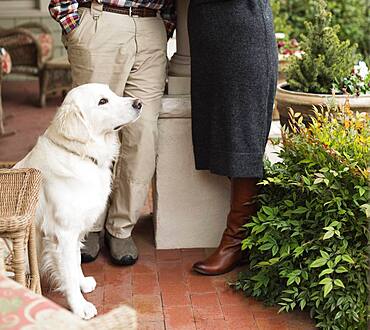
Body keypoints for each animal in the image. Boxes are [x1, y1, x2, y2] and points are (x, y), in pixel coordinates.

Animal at [14, 83, 142, 320]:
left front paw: (83, 283)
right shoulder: (62, 233)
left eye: (111, 93)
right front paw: (80, 307)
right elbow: (69, 274)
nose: (139, 103)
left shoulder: (75, 229)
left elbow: (76, 261)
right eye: (102, 101)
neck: (79, 153)